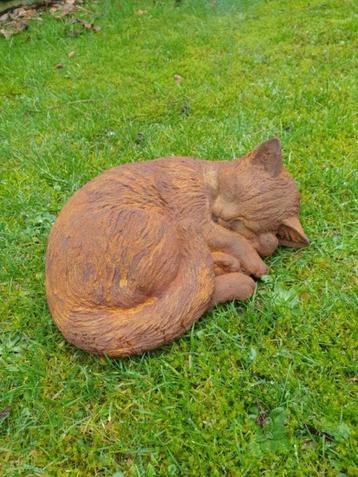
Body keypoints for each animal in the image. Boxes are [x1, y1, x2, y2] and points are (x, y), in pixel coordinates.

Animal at [46, 136, 310, 356]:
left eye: (243, 221)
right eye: (235, 191)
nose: (220, 214)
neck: (205, 178)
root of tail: (68, 308)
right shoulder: (196, 219)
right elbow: (233, 240)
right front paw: (256, 264)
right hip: (162, 228)